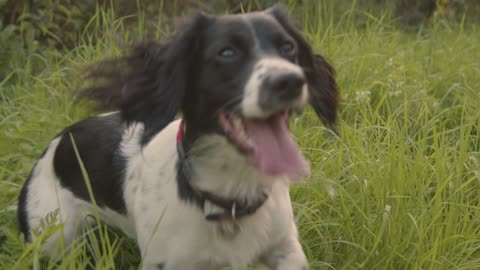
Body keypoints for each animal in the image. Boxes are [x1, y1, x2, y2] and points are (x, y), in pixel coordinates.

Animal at [17, 6, 338, 270]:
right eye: (227, 52)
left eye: (288, 46)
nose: (290, 81)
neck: (230, 197)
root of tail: (56, 143)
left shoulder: (285, 246)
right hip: (53, 235)